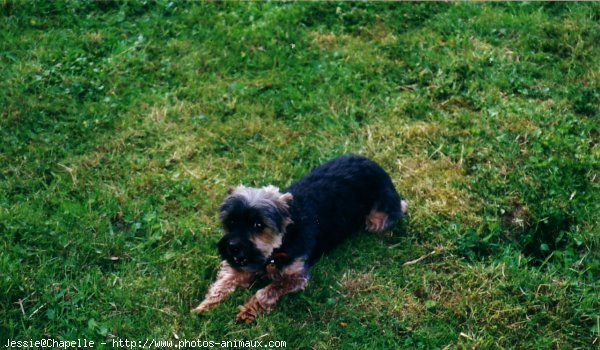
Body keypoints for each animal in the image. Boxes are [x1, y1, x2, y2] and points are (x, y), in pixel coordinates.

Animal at [192, 154, 408, 324]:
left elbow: (266, 291)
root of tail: (374, 164)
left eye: (258, 225)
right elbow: (222, 283)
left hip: (378, 218)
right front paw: (204, 307)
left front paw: (248, 310)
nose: (232, 247)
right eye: (230, 221)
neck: (282, 242)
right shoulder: (241, 265)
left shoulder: (297, 276)